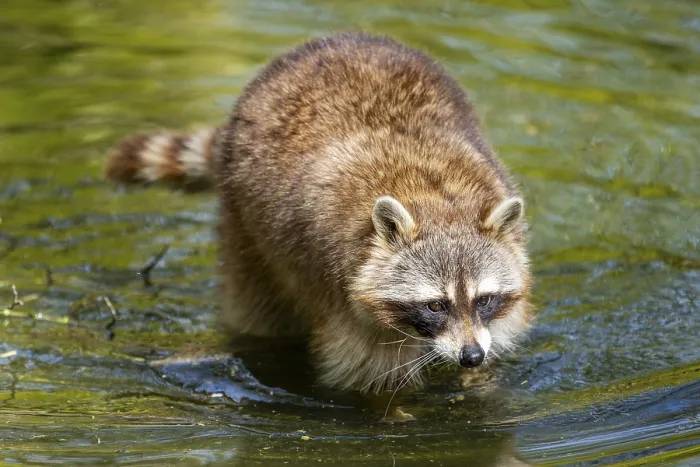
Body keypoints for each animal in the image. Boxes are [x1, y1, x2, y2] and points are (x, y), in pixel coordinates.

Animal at [105, 32, 532, 394]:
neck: (433, 196)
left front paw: (478, 379)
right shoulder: (336, 285)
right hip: (242, 222)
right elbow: (368, 371)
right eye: (435, 305)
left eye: (484, 299)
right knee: (257, 307)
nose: (471, 356)